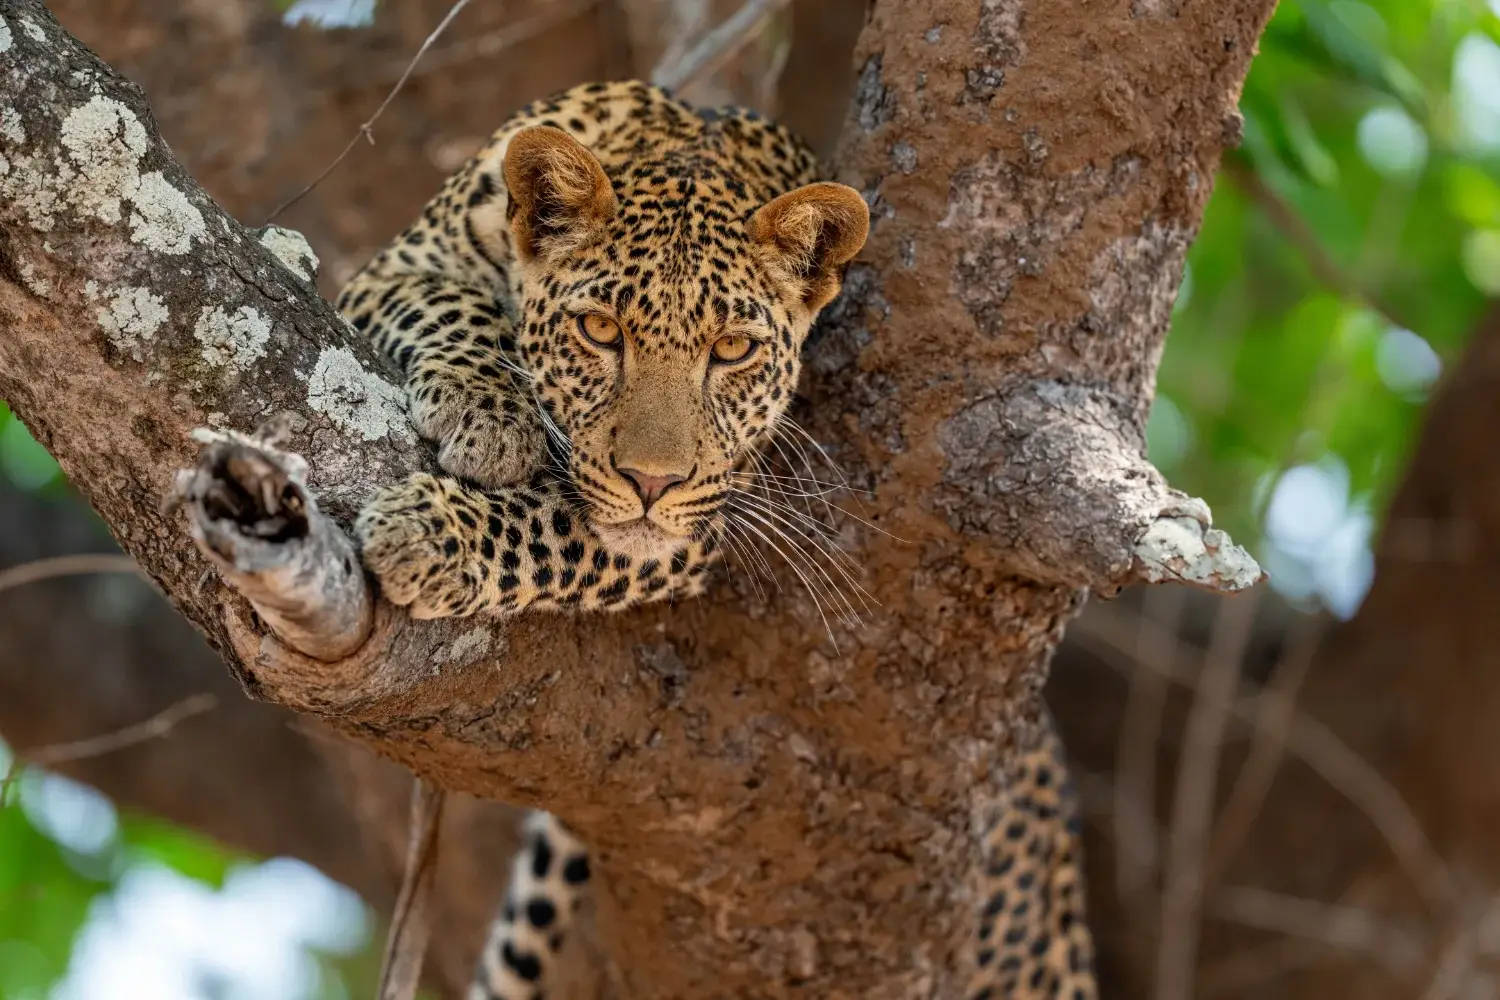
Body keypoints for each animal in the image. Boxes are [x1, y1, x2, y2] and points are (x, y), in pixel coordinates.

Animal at [337, 80, 1096, 1000]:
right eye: (600, 331)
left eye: (732, 350)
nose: (651, 481)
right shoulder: (387, 271)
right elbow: (447, 303)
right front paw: (488, 410)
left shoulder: (699, 523)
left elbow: (550, 529)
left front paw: (430, 530)